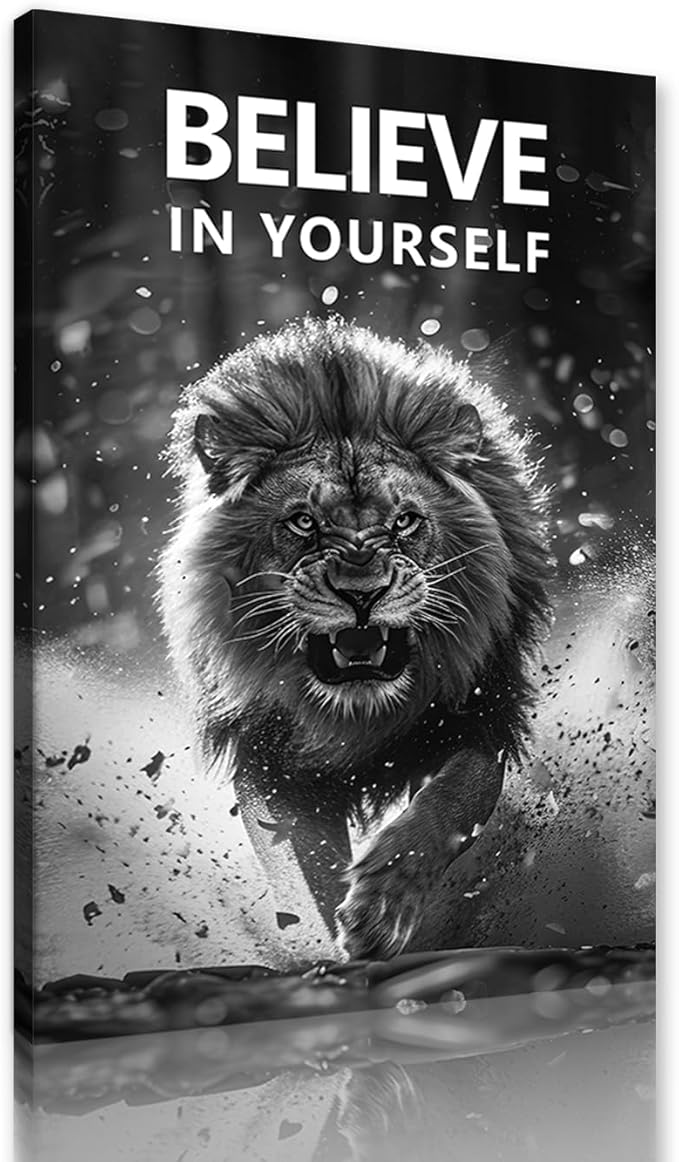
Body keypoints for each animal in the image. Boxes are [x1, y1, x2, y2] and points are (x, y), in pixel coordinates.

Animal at [158, 316, 552, 959]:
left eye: (405, 521)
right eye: (302, 522)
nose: (362, 592)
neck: (356, 713)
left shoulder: (481, 715)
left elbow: (453, 802)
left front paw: (381, 907)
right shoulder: (271, 758)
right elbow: (302, 873)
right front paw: (326, 945)